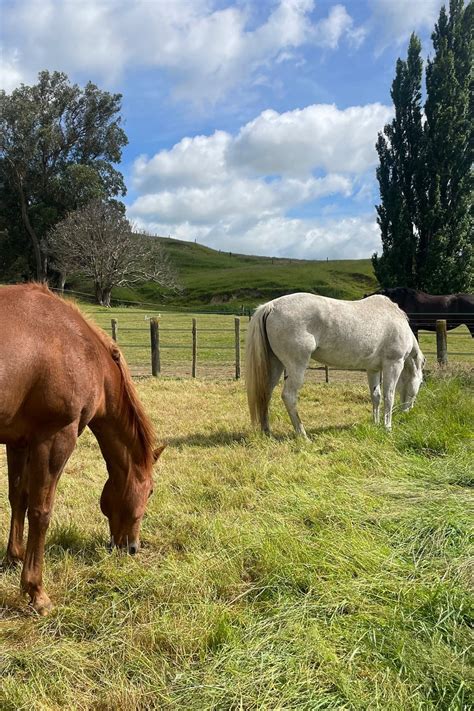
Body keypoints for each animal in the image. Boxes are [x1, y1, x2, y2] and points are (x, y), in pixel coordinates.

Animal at [0, 283, 165, 615]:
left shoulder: (19, 441)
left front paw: (14, 557)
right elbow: (41, 511)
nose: (132, 548)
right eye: (151, 491)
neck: (80, 347)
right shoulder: (55, 437)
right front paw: (36, 591)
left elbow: (18, 498)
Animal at [246, 293, 425, 437]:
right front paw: (387, 428)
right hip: (296, 366)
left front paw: (376, 423)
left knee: (265, 394)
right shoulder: (393, 364)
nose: (406, 412)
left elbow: (376, 396)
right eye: (421, 382)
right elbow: (389, 396)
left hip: (275, 365)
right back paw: (302, 434)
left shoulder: (372, 369)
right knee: (289, 396)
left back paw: (267, 432)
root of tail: (271, 306)